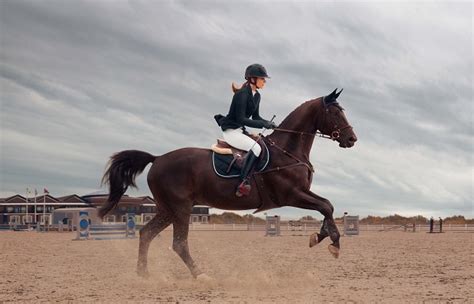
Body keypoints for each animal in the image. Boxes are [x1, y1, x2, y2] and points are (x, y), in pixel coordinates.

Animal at [102, 87, 358, 278]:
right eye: (335, 113)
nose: (352, 139)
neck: (287, 150)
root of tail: (157, 159)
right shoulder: (292, 194)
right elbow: (325, 206)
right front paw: (333, 244)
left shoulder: (302, 192)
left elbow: (328, 206)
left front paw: (320, 236)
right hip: (180, 208)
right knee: (179, 243)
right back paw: (200, 275)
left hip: (167, 209)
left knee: (146, 234)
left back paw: (143, 274)